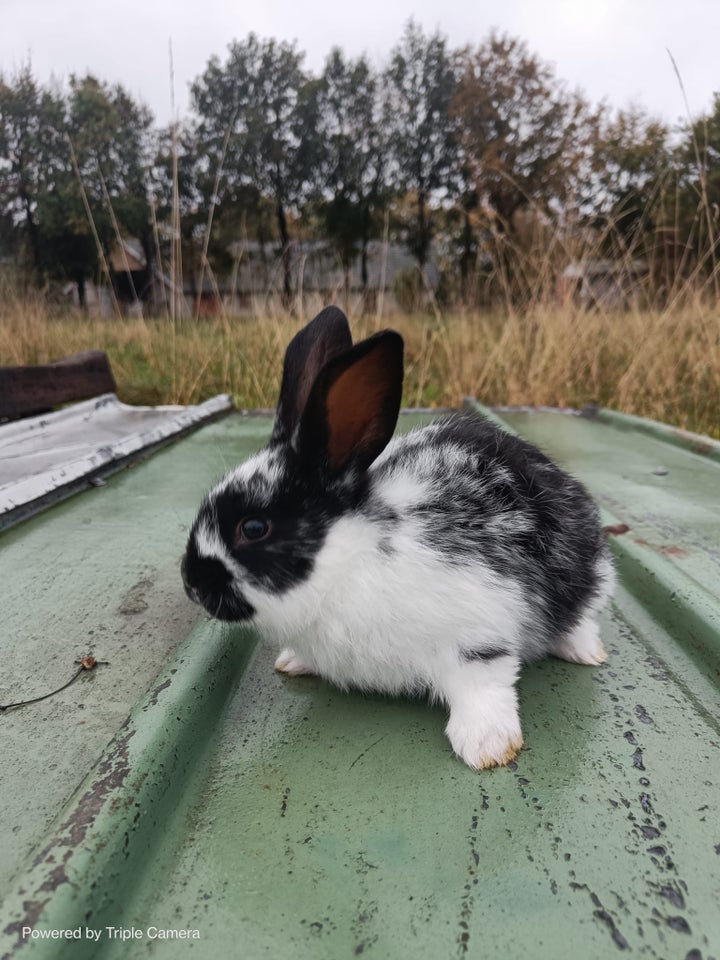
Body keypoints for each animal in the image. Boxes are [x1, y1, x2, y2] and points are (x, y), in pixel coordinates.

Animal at [180, 308, 612, 772]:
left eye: (253, 528)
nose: (190, 582)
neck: (348, 563)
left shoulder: (478, 628)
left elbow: (483, 686)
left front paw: (488, 746)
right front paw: (293, 661)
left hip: (588, 576)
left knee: (582, 614)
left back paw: (584, 650)